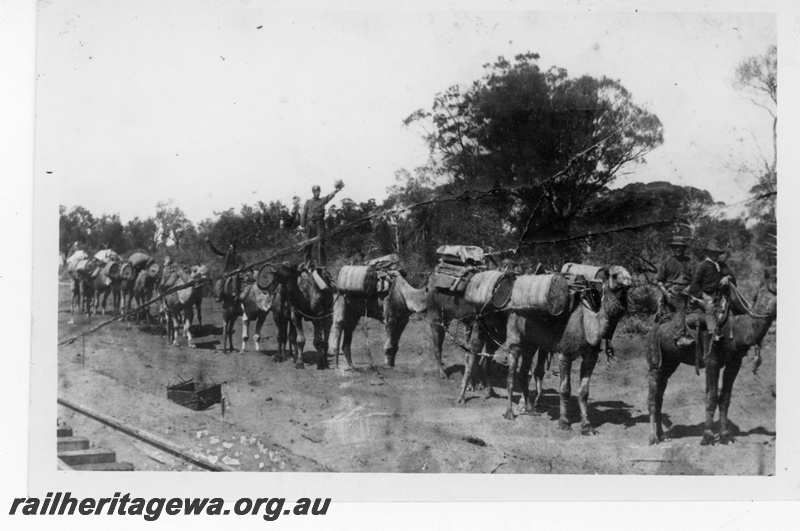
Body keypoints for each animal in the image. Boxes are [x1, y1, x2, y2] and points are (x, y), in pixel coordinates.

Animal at [504, 266, 636, 436]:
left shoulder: (591, 356)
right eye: (614, 275)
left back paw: (530, 410)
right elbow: (565, 389)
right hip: (514, 334)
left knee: (523, 372)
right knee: (511, 373)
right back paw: (510, 413)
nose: (629, 282)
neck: (589, 323)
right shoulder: (565, 354)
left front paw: (587, 426)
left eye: (628, 273)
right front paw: (564, 422)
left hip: (531, 344)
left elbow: (584, 391)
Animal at [648, 266, 776, 444]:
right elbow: (712, 396)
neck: (738, 327)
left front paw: (725, 436)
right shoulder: (711, 359)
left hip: (670, 362)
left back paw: (663, 436)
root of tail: (656, 323)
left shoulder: (735, 362)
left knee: (660, 393)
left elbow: (725, 398)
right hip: (655, 357)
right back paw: (653, 437)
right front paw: (708, 436)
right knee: (653, 394)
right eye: (775, 278)